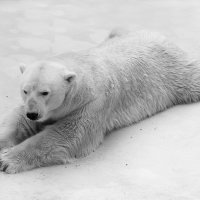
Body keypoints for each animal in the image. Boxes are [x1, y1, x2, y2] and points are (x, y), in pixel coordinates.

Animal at [0, 30, 200, 173]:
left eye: (45, 92)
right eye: (25, 90)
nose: (33, 113)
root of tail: (161, 35)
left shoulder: (93, 103)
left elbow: (66, 135)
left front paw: (6, 159)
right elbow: (19, 122)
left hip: (174, 74)